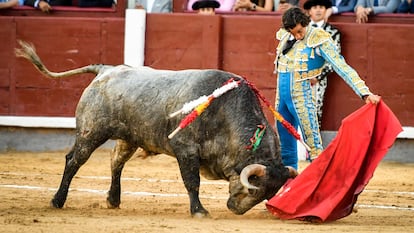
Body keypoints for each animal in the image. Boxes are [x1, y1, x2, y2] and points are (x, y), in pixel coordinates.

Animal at [15, 41, 298, 218]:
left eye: (268, 195)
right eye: (253, 190)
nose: (237, 209)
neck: (226, 112)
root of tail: (106, 70)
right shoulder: (185, 150)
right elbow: (192, 181)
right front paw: (199, 211)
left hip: (129, 138)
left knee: (116, 162)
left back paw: (113, 200)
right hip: (90, 132)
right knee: (74, 161)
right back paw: (57, 200)